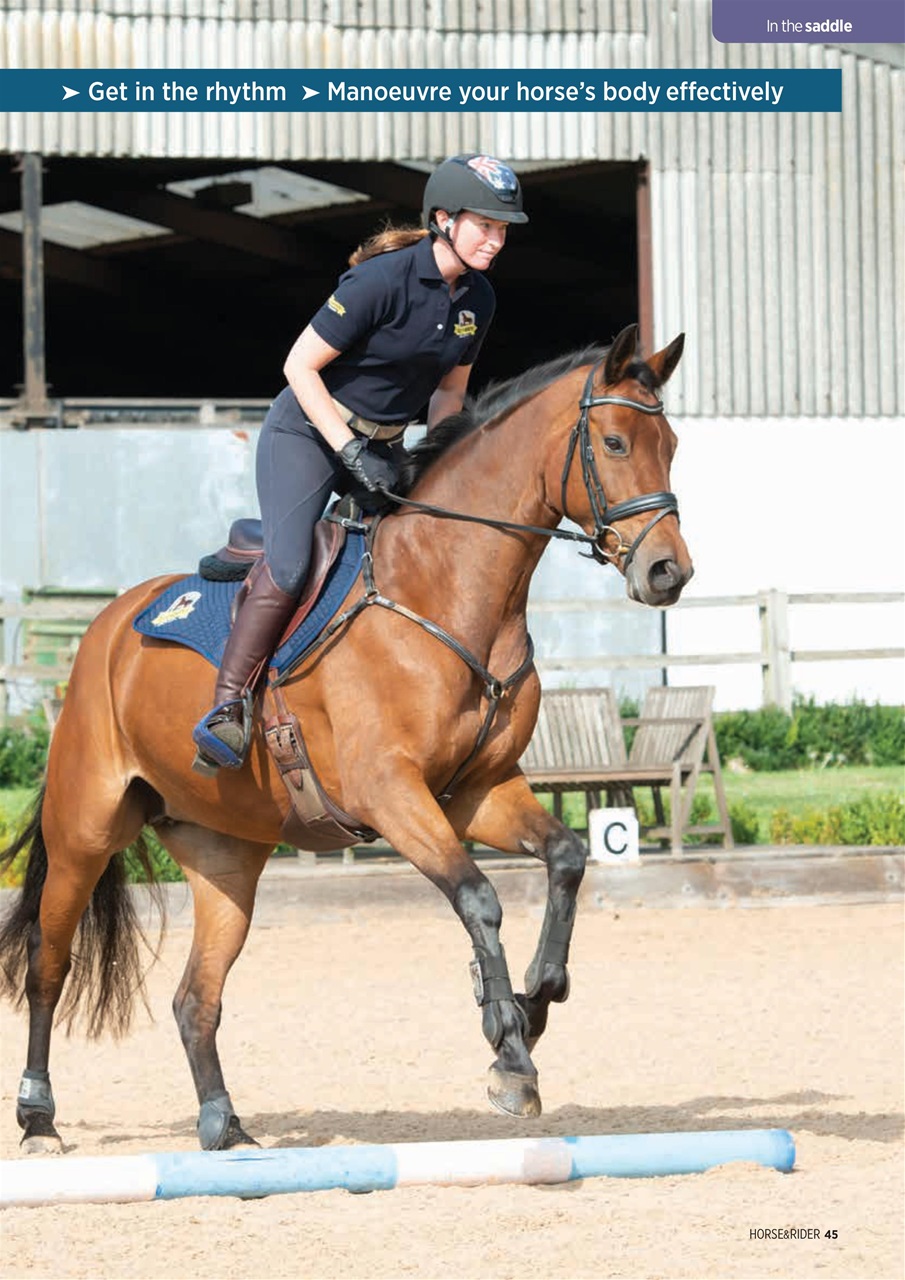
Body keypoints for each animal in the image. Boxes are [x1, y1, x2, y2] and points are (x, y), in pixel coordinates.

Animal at [0, 323, 693, 1155]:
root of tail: (103, 629)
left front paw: (534, 1002)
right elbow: (477, 895)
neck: (449, 592)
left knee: (195, 996)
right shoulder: (389, 793)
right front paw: (506, 1046)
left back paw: (224, 1126)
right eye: (615, 442)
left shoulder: (475, 793)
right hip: (85, 830)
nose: (668, 572)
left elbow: (566, 858)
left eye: (672, 445)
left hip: (223, 854)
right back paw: (39, 1118)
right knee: (49, 963)